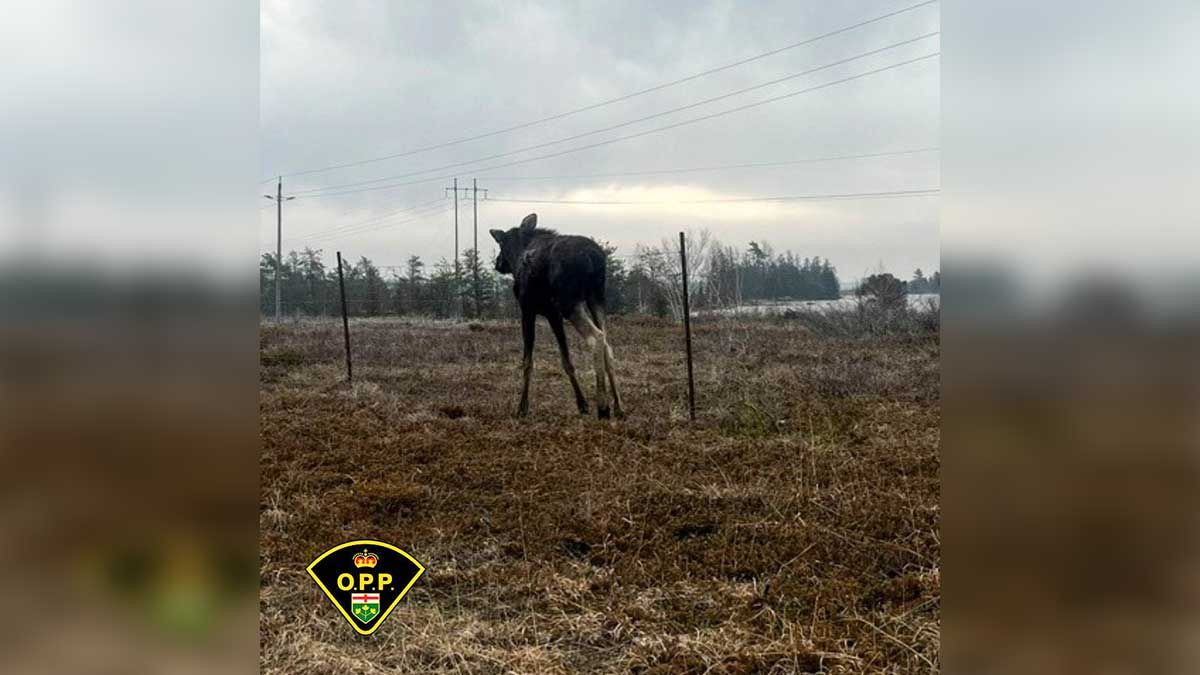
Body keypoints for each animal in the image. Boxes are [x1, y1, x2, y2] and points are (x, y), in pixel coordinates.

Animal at [490, 213, 624, 419]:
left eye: (501, 244)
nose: (498, 263)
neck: (518, 256)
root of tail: (594, 257)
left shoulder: (528, 309)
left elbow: (527, 362)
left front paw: (522, 407)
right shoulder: (553, 314)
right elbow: (566, 360)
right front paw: (582, 404)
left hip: (570, 303)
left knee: (596, 337)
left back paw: (603, 406)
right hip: (596, 297)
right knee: (607, 344)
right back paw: (618, 406)